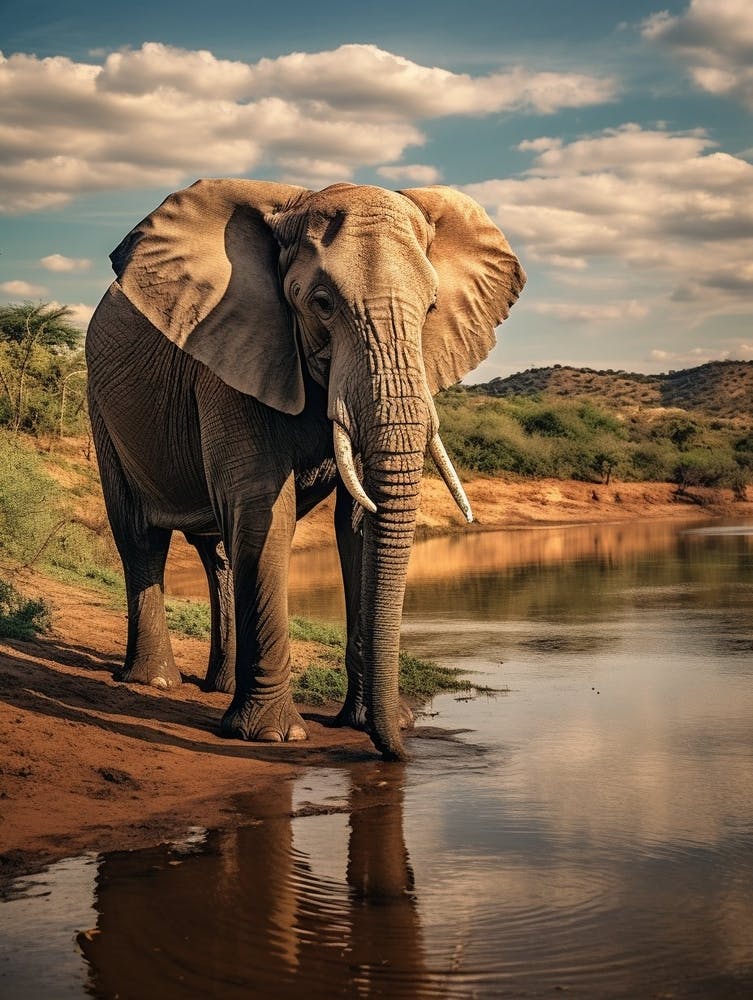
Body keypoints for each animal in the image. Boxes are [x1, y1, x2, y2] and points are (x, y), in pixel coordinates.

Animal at [86, 178, 525, 760]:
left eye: (432, 308)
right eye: (321, 304)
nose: (401, 751)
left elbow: (357, 523)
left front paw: (364, 722)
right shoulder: (232, 346)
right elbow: (263, 511)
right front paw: (273, 736)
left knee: (219, 549)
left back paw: (220, 687)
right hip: (101, 404)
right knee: (141, 536)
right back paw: (153, 681)